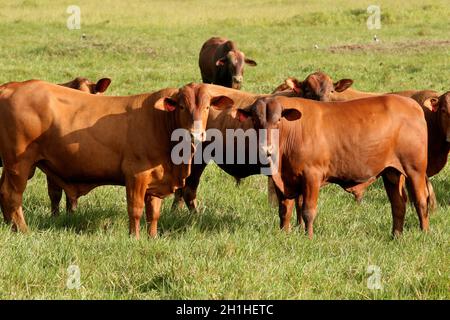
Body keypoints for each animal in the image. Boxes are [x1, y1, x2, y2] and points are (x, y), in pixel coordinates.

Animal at [0, 81, 232, 239]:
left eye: (207, 107)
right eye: (182, 106)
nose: (196, 134)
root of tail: (11, 86)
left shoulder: (157, 179)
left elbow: (154, 213)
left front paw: (153, 237)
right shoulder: (136, 174)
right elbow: (136, 209)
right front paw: (134, 237)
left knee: (4, 193)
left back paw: (9, 226)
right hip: (19, 165)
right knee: (13, 196)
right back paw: (23, 230)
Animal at [236, 95, 428, 238]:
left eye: (277, 121)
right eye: (256, 121)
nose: (266, 149)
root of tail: (412, 104)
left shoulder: (312, 176)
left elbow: (308, 210)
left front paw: (309, 237)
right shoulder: (283, 181)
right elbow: (284, 210)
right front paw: (283, 233)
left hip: (415, 169)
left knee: (421, 201)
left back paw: (424, 233)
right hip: (391, 172)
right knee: (398, 204)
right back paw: (396, 236)